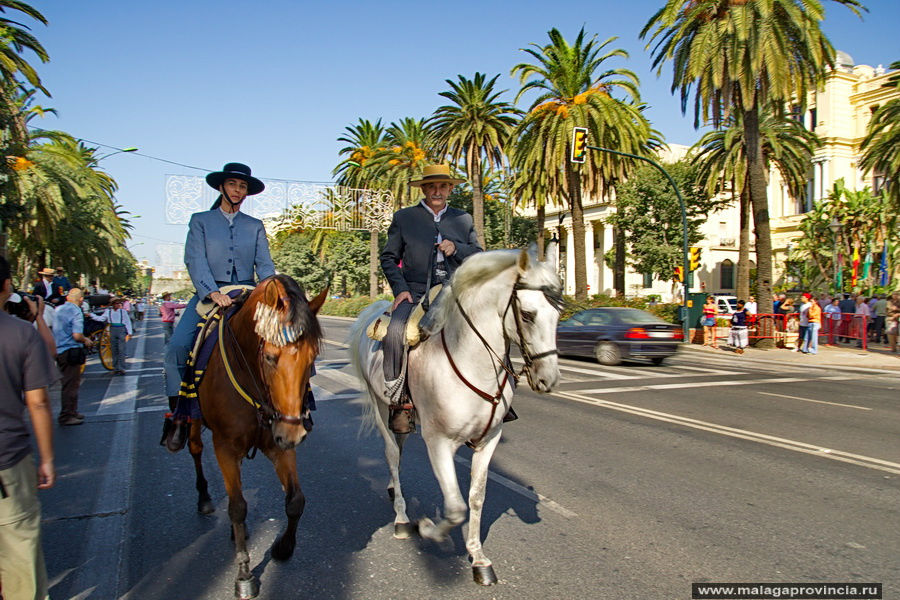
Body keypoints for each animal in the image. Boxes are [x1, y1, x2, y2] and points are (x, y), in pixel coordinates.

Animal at [187, 276, 326, 600]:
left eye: (313, 358)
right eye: (270, 357)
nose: (295, 433)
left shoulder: (278, 442)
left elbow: (295, 500)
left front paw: (284, 547)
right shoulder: (225, 447)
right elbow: (238, 507)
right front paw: (244, 574)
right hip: (193, 421)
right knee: (196, 450)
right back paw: (204, 498)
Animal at [350, 247, 564, 584]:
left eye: (559, 315)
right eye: (528, 315)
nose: (548, 379)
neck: (471, 360)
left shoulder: (489, 439)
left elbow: (476, 498)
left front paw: (478, 557)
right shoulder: (438, 442)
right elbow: (454, 508)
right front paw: (428, 530)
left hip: (401, 415)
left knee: (399, 448)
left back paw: (392, 489)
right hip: (381, 407)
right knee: (392, 455)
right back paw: (401, 517)